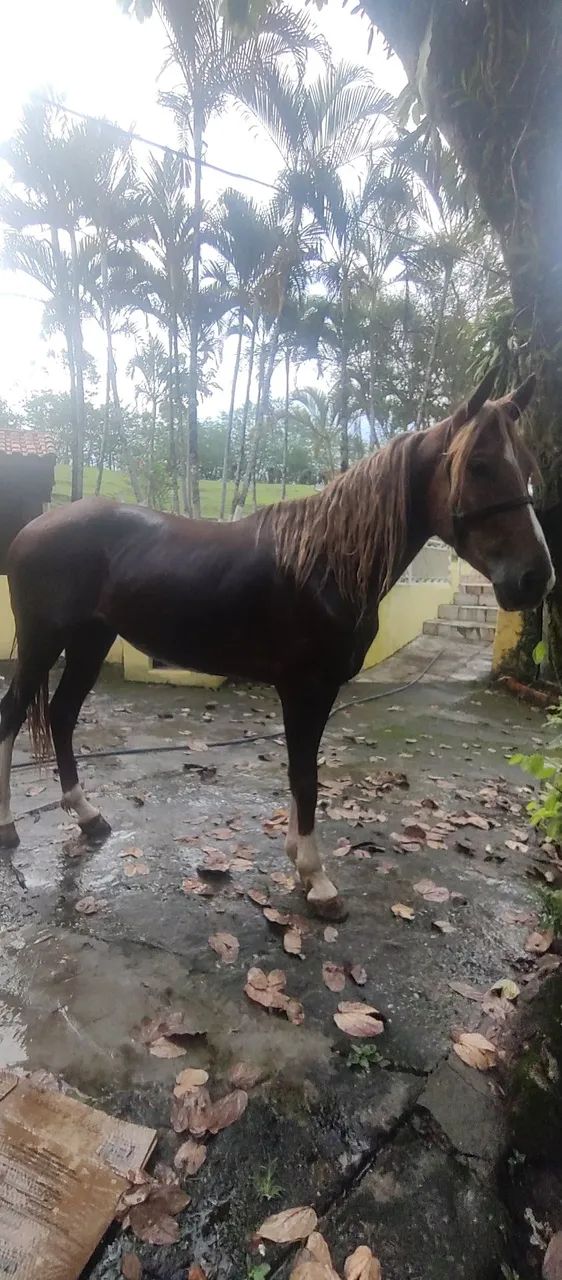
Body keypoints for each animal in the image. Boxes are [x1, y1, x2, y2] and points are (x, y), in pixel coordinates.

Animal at [0, 369, 554, 920]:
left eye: (528, 467)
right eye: (479, 466)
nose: (535, 578)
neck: (328, 563)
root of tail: (31, 528)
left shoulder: (317, 691)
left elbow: (299, 770)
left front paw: (299, 862)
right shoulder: (304, 687)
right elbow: (305, 774)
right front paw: (318, 880)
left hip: (91, 641)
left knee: (61, 714)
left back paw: (88, 816)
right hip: (43, 641)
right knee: (13, 715)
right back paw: (9, 827)